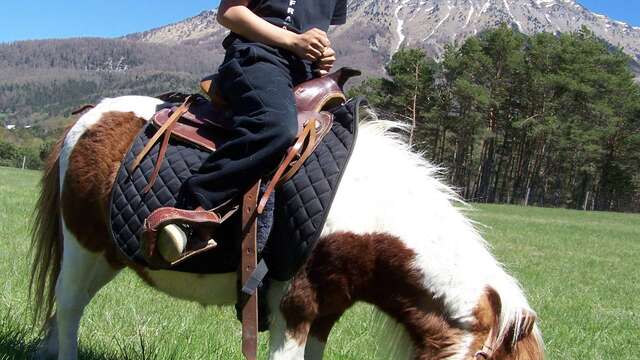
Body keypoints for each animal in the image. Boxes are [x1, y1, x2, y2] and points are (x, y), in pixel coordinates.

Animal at [30, 95, 544, 360]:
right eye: (487, 358)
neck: (368, 209)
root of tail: (88, 115)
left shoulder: (326, 312)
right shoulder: (293, 307)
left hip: (107, 256)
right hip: (82, 246)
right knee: (69, 306)